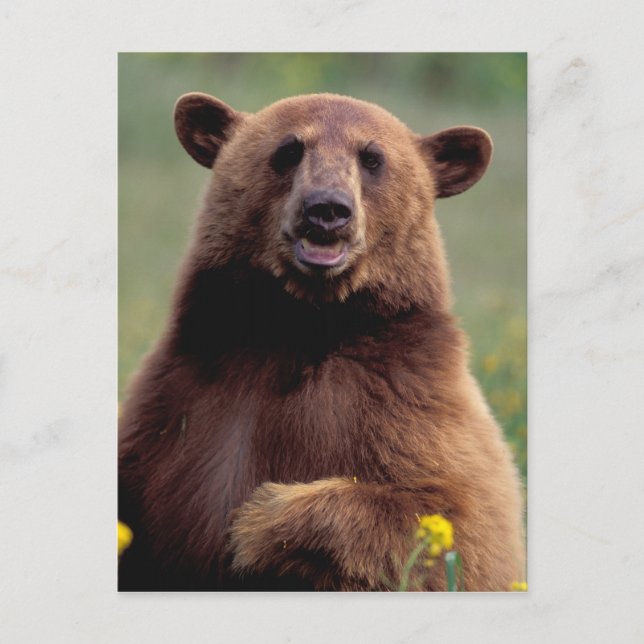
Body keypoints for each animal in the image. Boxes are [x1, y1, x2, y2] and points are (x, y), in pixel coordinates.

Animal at [118, 91, 525, 591]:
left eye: (372, 157)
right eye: (289, 149)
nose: (327, 209)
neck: (298, 327)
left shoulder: (408, 403)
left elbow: (463, 527)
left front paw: (259, 520)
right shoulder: (178, 399)